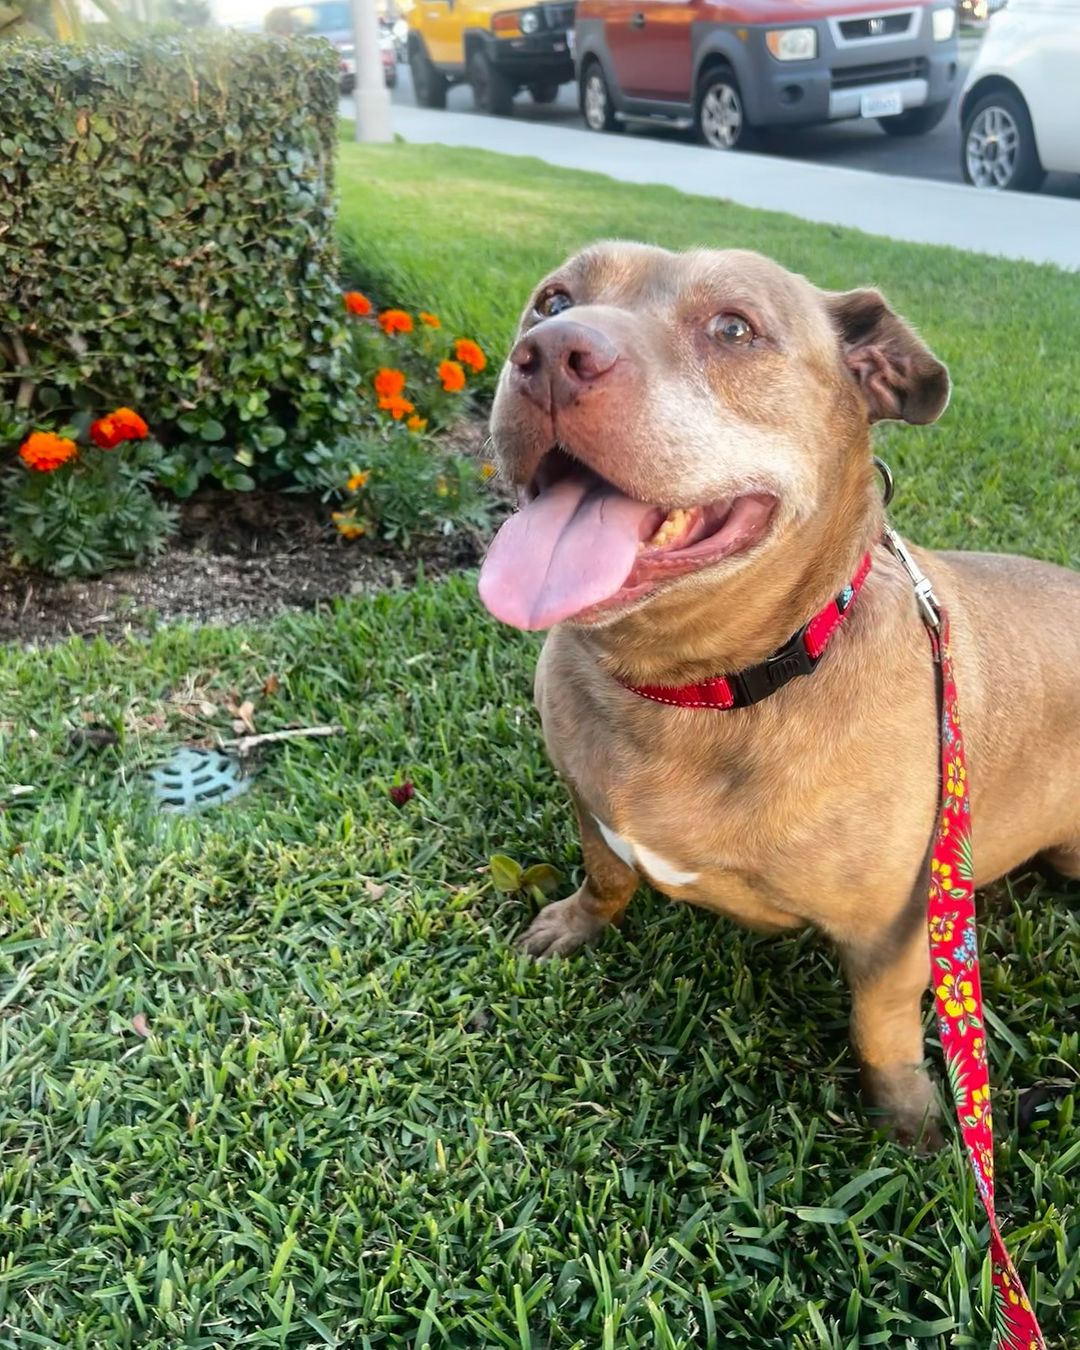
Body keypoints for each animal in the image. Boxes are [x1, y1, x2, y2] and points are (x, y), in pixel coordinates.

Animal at [480, 240, 1080, 1139]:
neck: (698, 688)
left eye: (734, 328)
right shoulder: (588, 802)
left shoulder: (894, 930)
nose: (551, 354)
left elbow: (879, 1022)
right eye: (552, 301)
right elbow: (608, 874)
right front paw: (575, 922)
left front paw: (905, 1109)